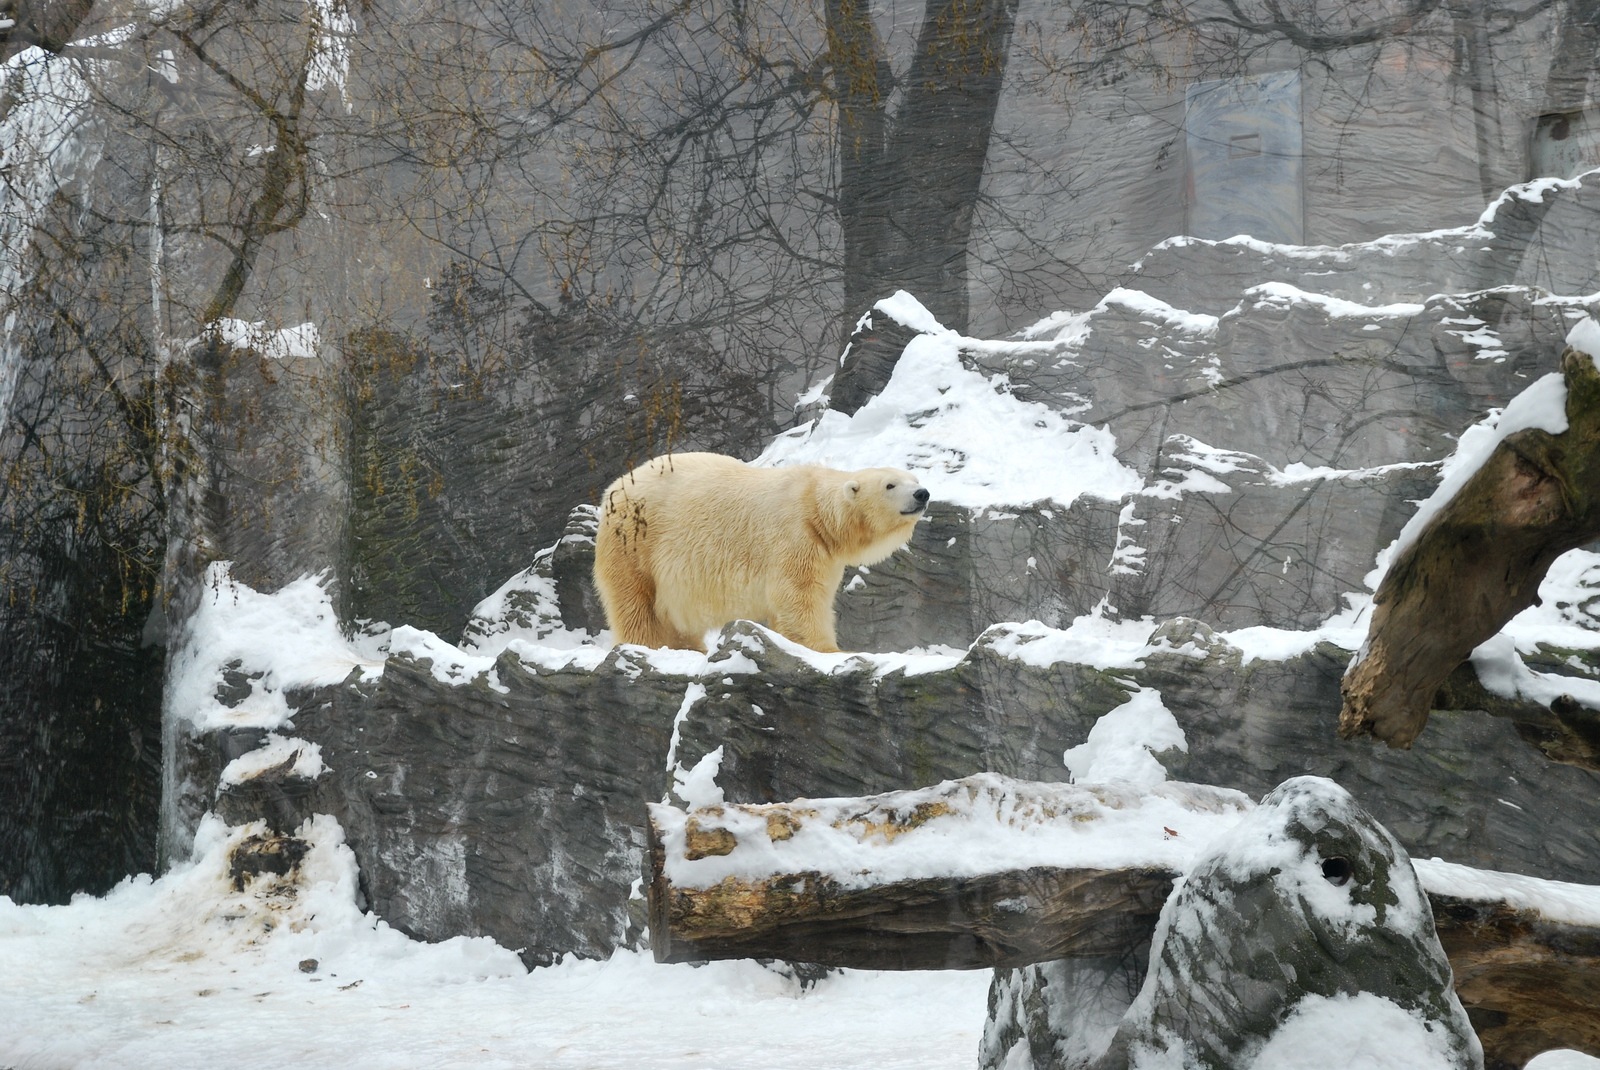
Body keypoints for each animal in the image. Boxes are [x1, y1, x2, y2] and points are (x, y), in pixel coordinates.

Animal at [595, 451, 934, 652]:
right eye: (890, 485)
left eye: (914, 479)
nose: (922, 493)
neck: (814, 507)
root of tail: (613, 487)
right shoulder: (794, 536)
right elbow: (799, 598)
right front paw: (829, 650)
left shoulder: (824, 552)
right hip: (635, 541)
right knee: (636, 603)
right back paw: (649, 645)